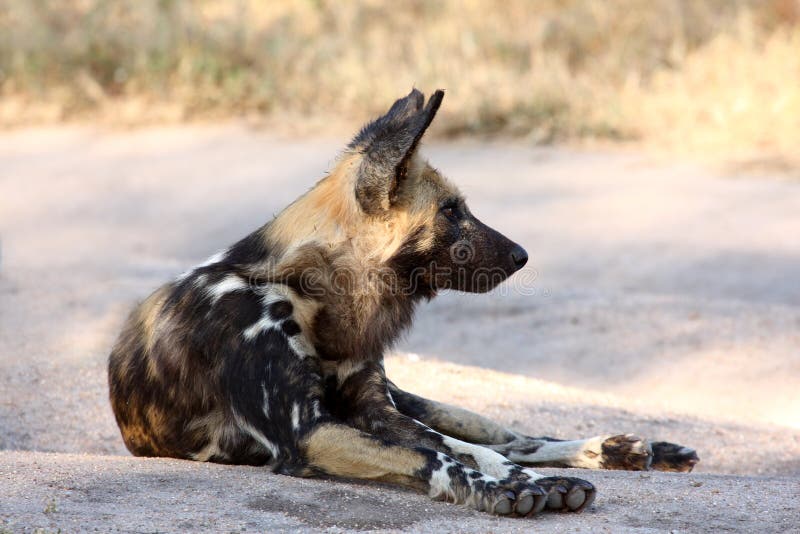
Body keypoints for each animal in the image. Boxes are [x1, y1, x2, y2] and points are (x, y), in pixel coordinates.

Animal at [109, 89, 696, 520]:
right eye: (452, 210)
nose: (523, 255)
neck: (316, 292)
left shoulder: (376, 409)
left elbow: (463, 448)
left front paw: (531, 481)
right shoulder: (310, 432)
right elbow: (434, 455)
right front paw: (496, 491)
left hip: (420, 401)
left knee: (513, 437)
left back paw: (630, 449)